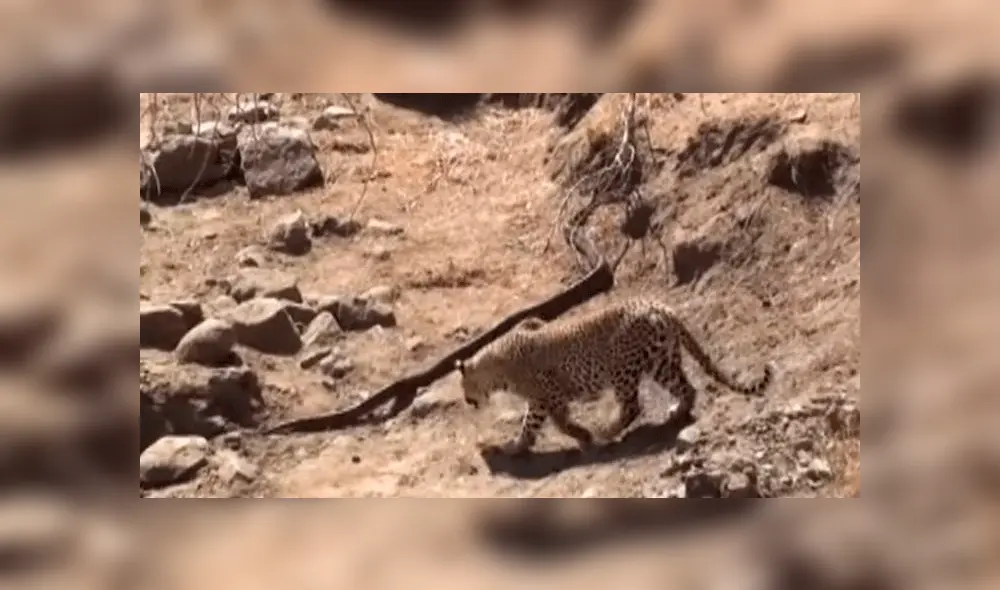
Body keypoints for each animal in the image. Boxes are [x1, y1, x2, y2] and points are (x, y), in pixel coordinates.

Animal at [454, 297, 774, 456]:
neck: (497, 366)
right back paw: (676, 412)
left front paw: (584, 437)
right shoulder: (539, 400)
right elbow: (528, 426)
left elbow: (556, 423)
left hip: (624, 369)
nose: (468, 401)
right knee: (688, 388)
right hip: (662, 361)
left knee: (633, 406)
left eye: (464, 388)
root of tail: (661, 307)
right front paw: (515, 447)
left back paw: (606, 432)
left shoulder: (548, 396)